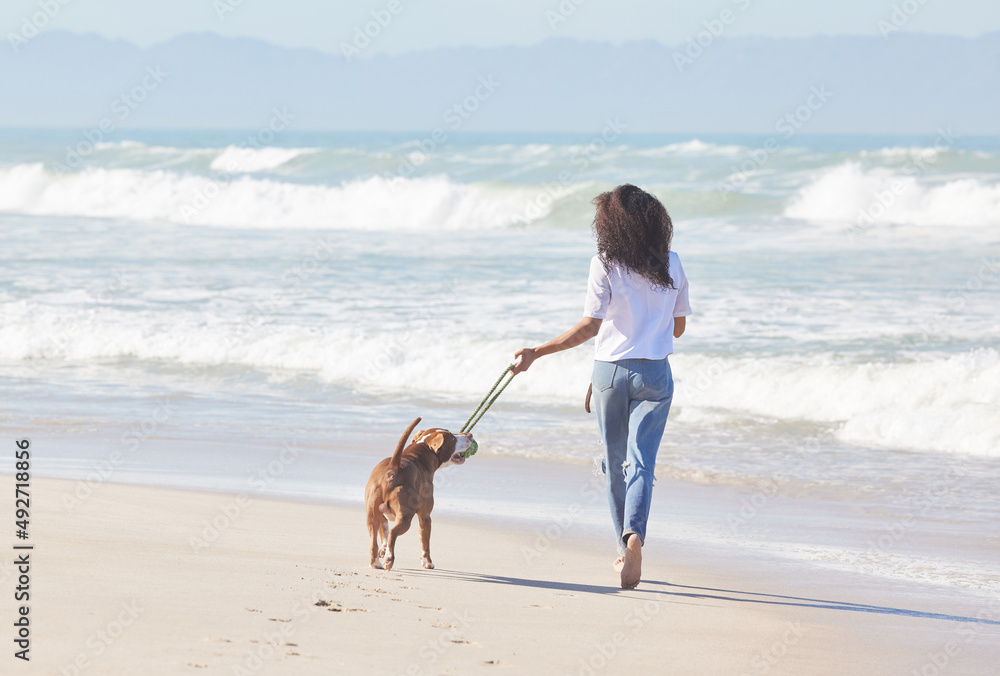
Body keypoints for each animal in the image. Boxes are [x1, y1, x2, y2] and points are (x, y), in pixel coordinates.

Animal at [366, 418, 474, 572]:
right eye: (453, 438)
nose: (470, 434)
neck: (419, 454)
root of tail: (393, 469)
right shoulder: (425, 516)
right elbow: (425, 543)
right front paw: (428, 562)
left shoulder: (381, 516)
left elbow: (384, 531)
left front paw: (384, 549)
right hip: (405, 517)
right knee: (393, 532)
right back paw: (388, 560)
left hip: (371, 516)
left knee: (373, 540)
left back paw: (376, 563)